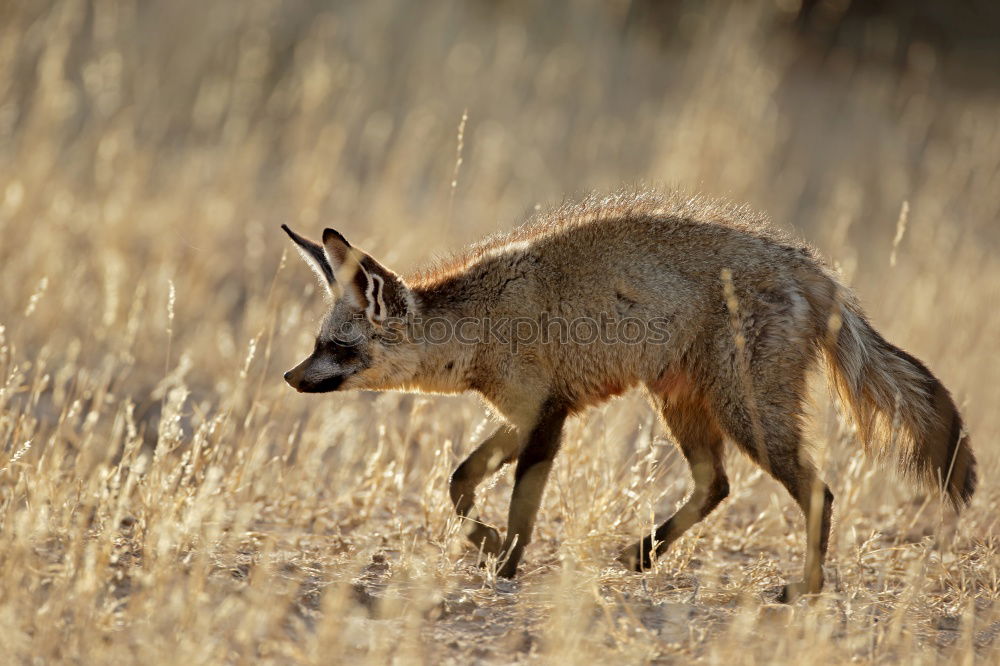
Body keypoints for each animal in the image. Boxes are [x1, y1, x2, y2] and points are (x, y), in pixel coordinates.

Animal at [282, 188, 976, 600]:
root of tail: (813, 268)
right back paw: (642, 555)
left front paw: (505, 566)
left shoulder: (546, 418)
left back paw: (803, 588)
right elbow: (457, 482)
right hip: (685, 406)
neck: (480, 319)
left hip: (747, 416)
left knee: (816, 492)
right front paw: (484, 542)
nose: (289, 377)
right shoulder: (525, 414)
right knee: (717, 485)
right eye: (317, 343)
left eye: (336, 348)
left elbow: (520, 509)